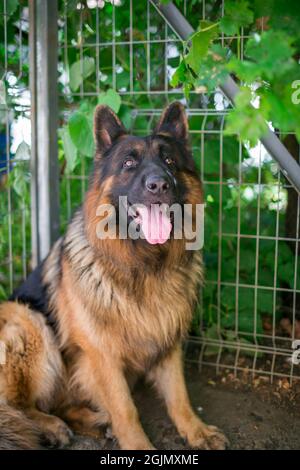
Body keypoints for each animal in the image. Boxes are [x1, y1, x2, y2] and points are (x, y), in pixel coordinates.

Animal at [0, 103, 226, 452]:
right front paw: (138, 446)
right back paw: (50, 426)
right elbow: (125, 408)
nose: (159, 185)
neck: (144, 266)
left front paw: (196, 430)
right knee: (17, 406)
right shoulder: (101, 354)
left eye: (170, 162)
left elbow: (179, 396)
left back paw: (92, 421)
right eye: (129, 163)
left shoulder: (167, 340)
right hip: (28, 321)